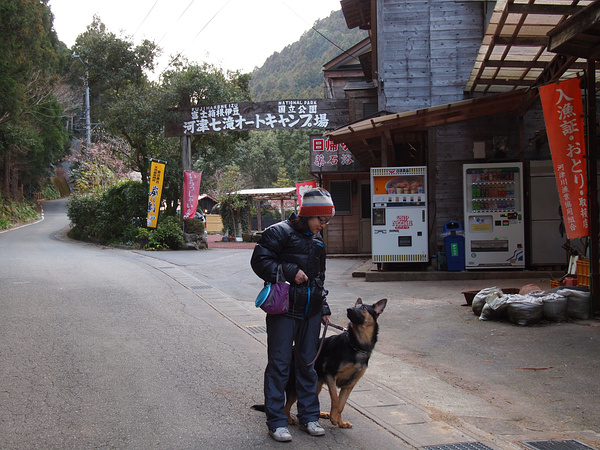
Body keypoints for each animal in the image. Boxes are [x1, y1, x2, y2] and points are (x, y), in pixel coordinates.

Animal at [286, 298, 390, 428]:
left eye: (363, 308)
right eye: (356, 306)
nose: (349, 309)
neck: (356, 345)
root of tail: (293, 349)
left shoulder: (349, 385)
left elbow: (341, 405)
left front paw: (340, 421)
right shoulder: (331, 375)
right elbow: (335, 399)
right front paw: (333, 418)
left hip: (317, 385)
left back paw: (320, 414)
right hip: (295, 385)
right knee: (286, 406)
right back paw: (289, 419)